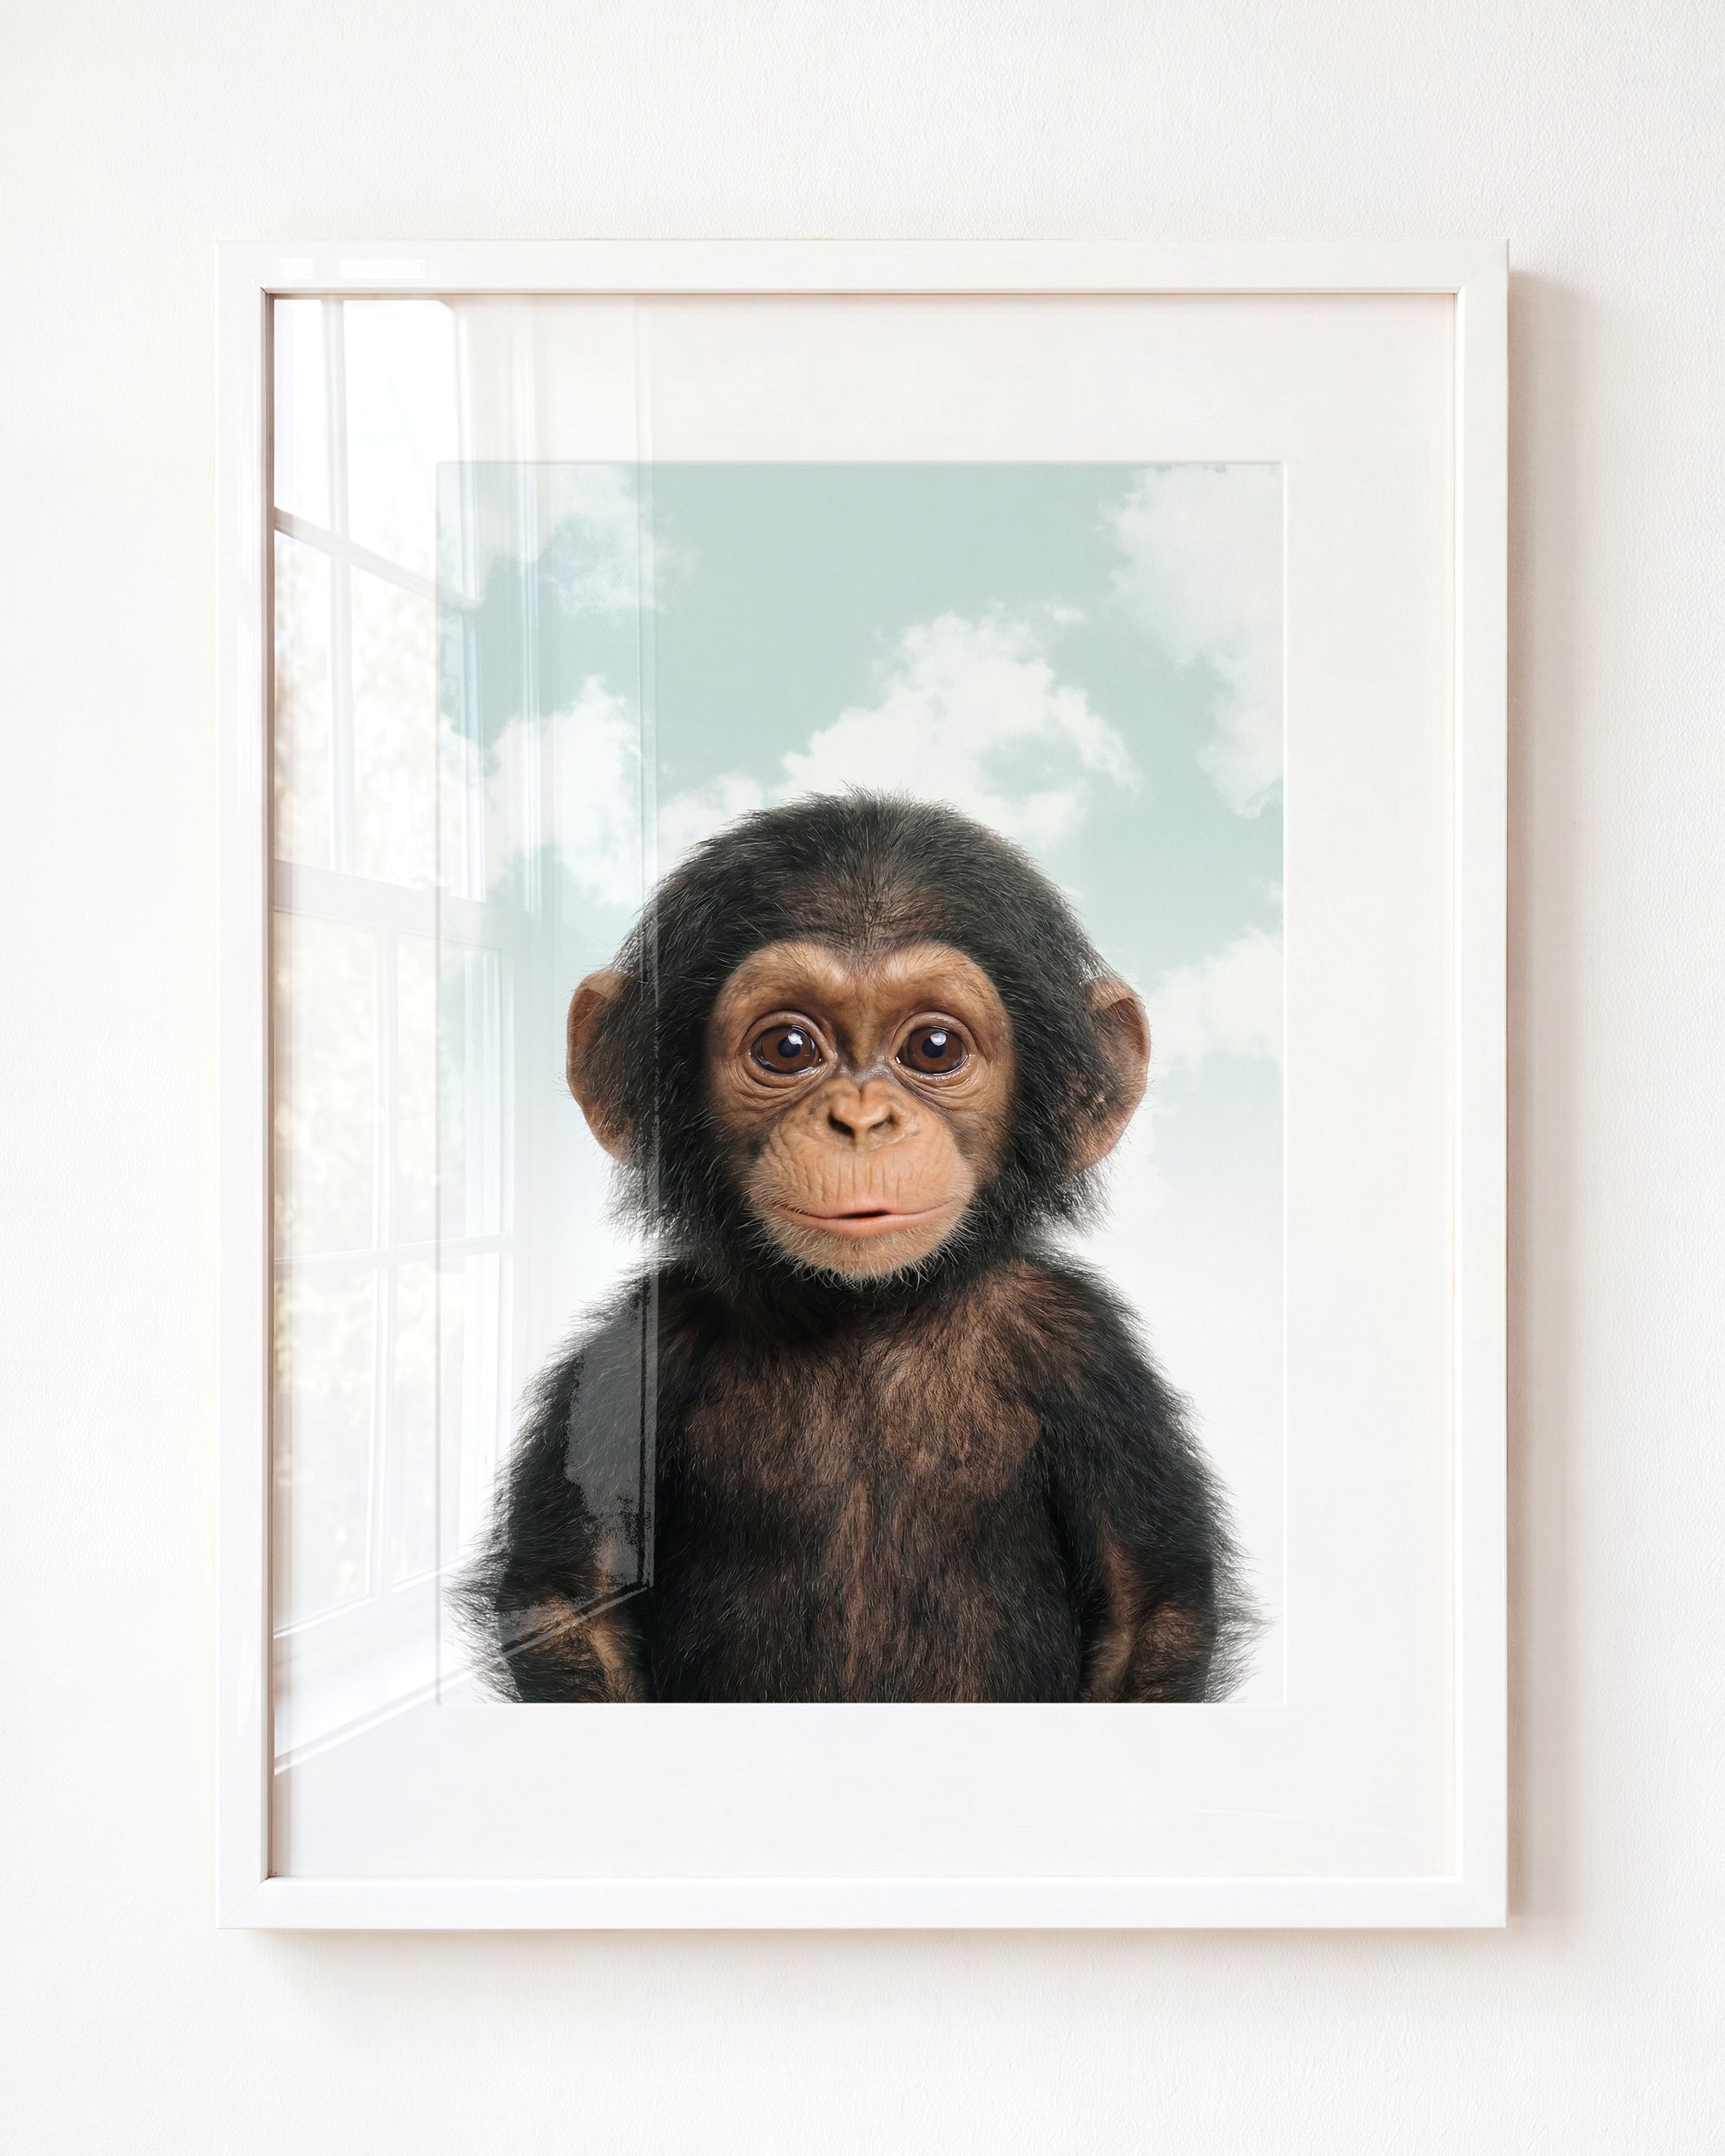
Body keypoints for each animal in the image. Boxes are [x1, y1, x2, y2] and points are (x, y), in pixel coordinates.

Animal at [459, 793, 1255, 1703]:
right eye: (787, 1048)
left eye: (934, 1048)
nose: (862, 1120)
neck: (865, 1313)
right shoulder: (633, 1354)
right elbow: (570, 1600)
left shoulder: (1086, 1352)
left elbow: (1147, 1608)